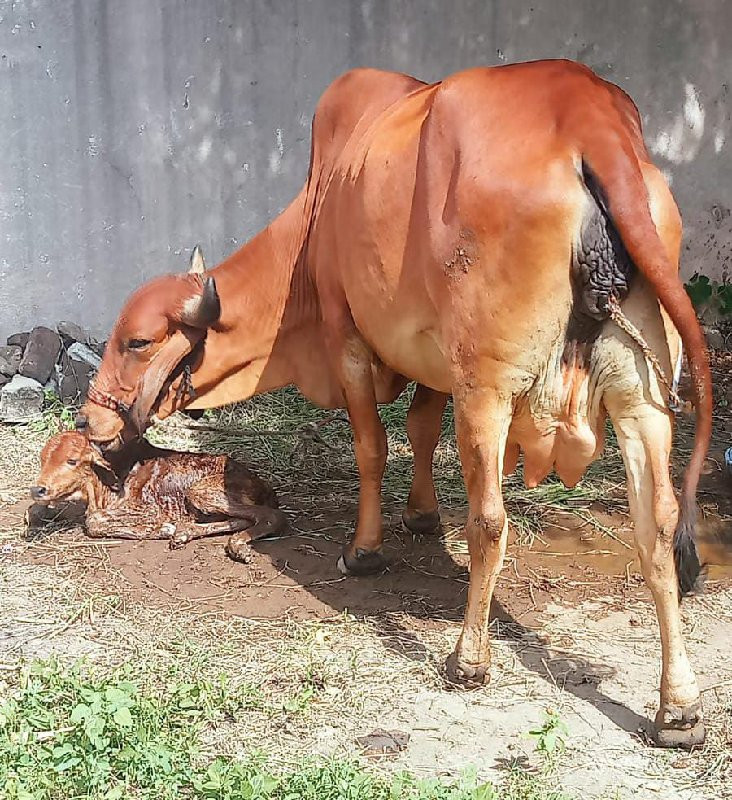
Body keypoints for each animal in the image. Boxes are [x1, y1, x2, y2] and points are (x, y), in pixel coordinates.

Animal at [32, 432, 288, 564]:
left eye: (72, 460)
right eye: (42, 459)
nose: (38, 489)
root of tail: (263, 485)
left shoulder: (148, 509)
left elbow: (92, 521)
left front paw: (162, 528)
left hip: (202, 490)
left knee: (271, 517)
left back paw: (236, 546)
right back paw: (184, 533)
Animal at [78, 62, 708, 752]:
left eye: (137, 342)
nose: (88, 419)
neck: (318, 217)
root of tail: (587, 117)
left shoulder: (348, 337)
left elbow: (374, 448)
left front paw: (365, 548)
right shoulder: (433, 356)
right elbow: (420, 427)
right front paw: (422, 515)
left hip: (488, 388)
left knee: (490, 522)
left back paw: (468, 659)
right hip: (640, 398)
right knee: (657, 525)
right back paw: (678, 707)